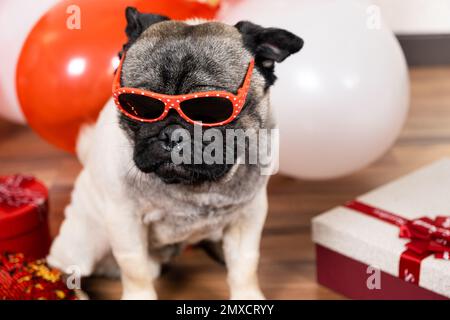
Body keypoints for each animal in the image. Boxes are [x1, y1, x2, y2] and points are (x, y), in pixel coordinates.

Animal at [47, 6, 302, 298]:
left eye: (212, 112)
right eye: (138, 107)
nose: (172, 134)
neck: (192, 188)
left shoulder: (248, 216)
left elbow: (245, 265)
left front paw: (248, 296)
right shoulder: (125, 220)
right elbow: (134, 268)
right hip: (88, 238)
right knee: (62, 267)